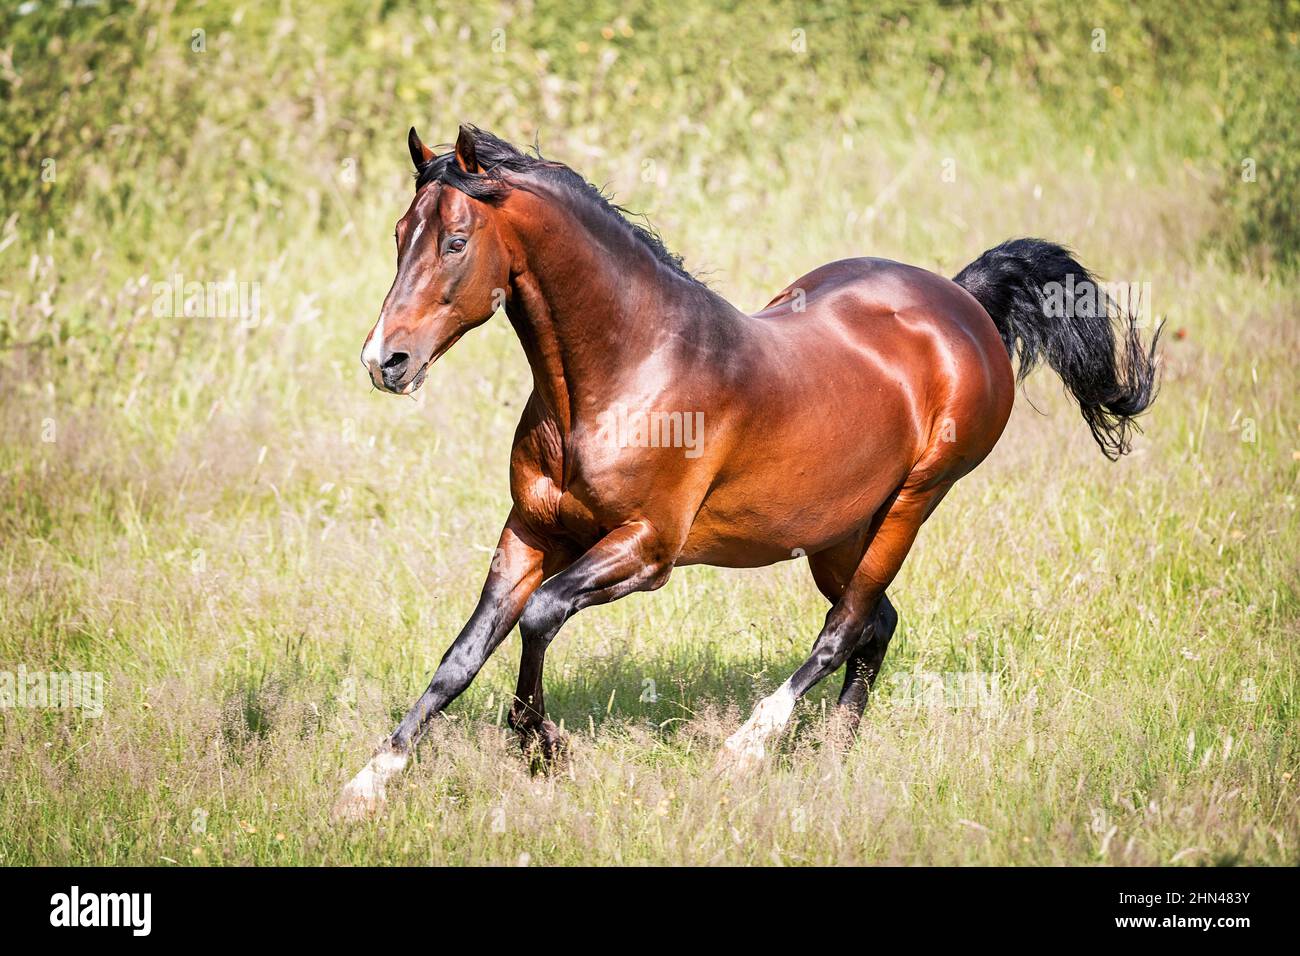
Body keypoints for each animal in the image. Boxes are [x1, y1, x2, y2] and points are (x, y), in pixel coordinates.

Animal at [332, 123, 1159, 816]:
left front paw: (543, 748)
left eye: (455, 241)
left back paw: (750, 747)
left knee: (843, 628)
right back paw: (831, 755)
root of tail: (964, 302)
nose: (384, 360)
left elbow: (539, 617)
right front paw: (371, 782)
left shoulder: (646, 550)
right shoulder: (531, 531)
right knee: (877, 623)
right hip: (835, 531)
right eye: (401, 233)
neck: (628, 370)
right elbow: (462, 655)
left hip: (913, 502)